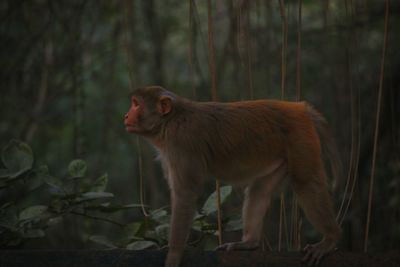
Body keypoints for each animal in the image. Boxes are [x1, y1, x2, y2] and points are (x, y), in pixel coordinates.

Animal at [124, 86, 340, 267]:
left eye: (136, 104)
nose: (126, 115)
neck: (171, 120)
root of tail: (299, 107)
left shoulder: (181, 143)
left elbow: (185, 193)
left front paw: (174, 254)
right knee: (260, 190)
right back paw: (249, 243)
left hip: (299, 137)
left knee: (306, 182)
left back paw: (330, 238)